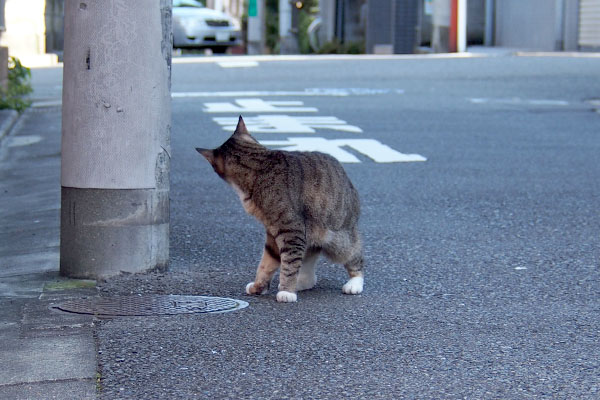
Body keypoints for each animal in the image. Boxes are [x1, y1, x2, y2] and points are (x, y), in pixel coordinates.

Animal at [199, 115, 364, 304]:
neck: (260, 166)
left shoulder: (291, 231)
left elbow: (289, 264)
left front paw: (287, 291)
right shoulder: (273, 232)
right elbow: (267, 263)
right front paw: (259, 286)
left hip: (338, 239)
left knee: (354, 255)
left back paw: (354, 283)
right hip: (311, 232)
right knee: (310, 255)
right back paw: (303, 282)